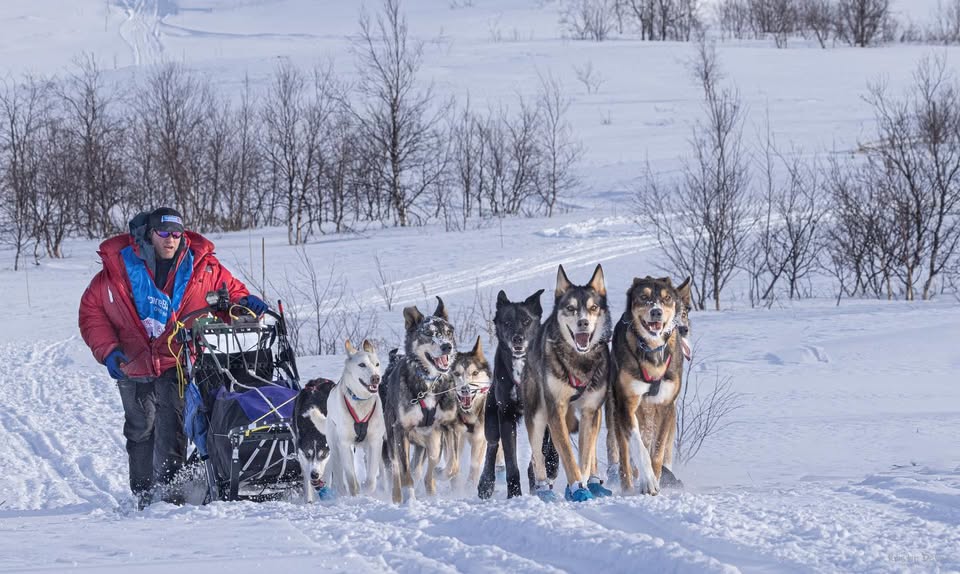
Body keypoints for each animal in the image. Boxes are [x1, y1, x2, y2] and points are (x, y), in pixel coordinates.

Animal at [382, 296, 458, 504]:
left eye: (448, 332)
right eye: (429, 333)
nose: (447, 346)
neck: (429, 383)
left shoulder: (449, 425)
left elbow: (453, 464)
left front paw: (441, 473)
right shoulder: (400, 431)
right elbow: (405, 473)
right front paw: (409, 499)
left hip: (433, 441)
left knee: (427, 468)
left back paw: (431, 489)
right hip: (392, 439)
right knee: (397, 469)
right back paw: (397, 497)